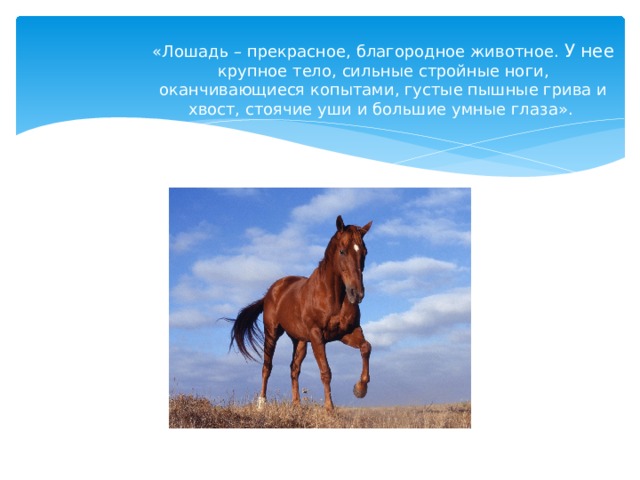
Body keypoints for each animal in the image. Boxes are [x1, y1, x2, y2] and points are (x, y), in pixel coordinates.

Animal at [227, 215, 372, 411]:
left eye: (364, 252)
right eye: (342, 251)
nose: (357, 293)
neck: (332, 296)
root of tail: (270, 292)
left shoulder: (347, 332)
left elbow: (366, 347)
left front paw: (360, 389)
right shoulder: (317, 336)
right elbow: (325, 371)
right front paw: (329, 408)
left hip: (300, 340)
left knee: (294, 368)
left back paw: (296, 404)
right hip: (272, 333)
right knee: (267, 367)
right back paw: (261, 404)